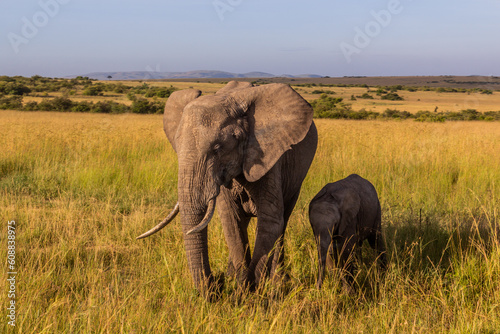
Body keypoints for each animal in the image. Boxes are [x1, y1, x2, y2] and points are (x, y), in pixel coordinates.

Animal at [137, 81, 316, 298]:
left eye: (217, 148)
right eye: (176, 146)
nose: (216, 283)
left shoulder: (270, 159)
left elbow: (270, 221)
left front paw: (248, 295)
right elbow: (230, 221)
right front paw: (239, 288)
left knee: (283, 222)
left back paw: (278, 279)